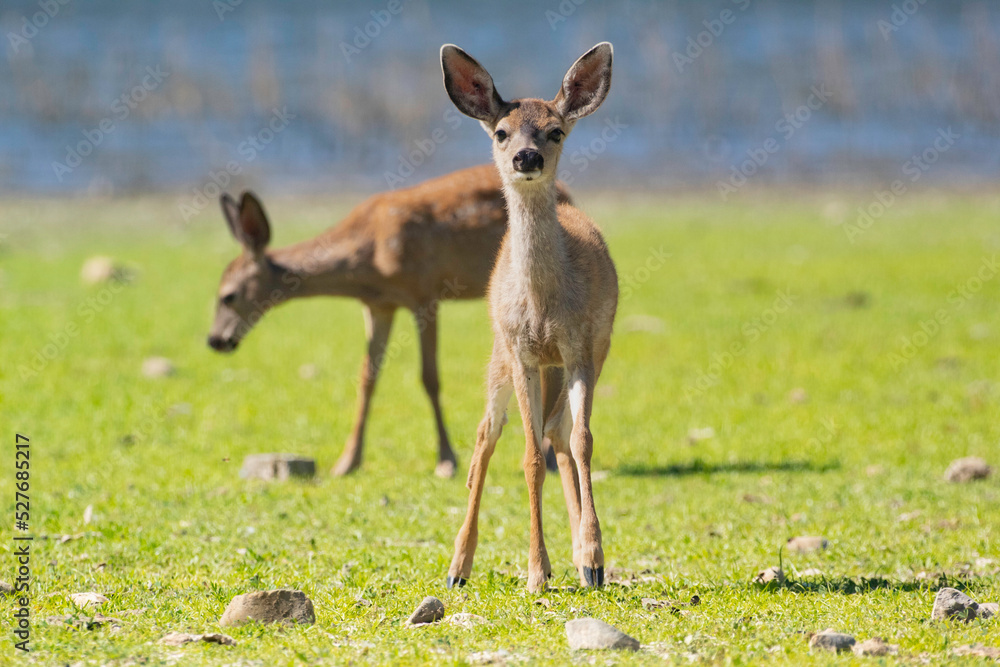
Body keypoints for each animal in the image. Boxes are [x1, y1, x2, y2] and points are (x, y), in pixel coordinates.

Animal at [207, 164, 572, 478]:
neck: (370, 255)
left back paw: (551, 458)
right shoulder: (378, 305)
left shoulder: (424, 294)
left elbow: (430, 378)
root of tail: (565, 191)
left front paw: (446, 460)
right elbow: (368, 376)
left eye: (228, 295)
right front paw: (347, 462)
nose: (215, 340)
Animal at [440, 42, 618, 593]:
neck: (542, 308)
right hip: (500, 356)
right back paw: (457, 567)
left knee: (558, 432)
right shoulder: (521, 353)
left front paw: (593, 557)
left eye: (555, 130)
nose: (526, 156)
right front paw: (538, 572)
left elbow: (581, 441)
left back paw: (580, 560)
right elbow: (528, 456)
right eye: (501, 132)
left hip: (574, 361)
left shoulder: (580, 349)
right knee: (485, 435)